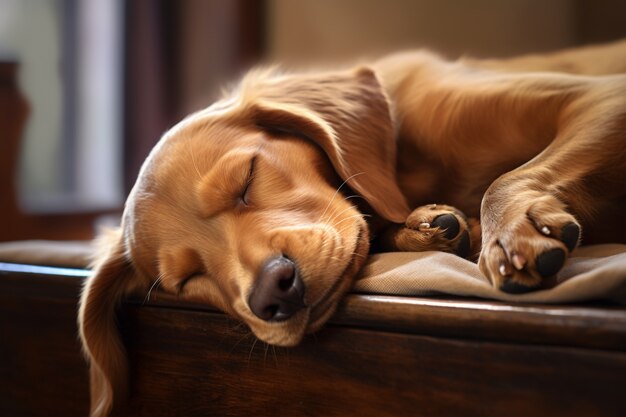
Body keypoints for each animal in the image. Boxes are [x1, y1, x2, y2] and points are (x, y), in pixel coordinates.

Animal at [78, 39, 624, 416]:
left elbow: (504, 180)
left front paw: (510, 231)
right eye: (188, 280)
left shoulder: (604, 98)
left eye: (246, 179)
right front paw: (430, 226)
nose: (274, 293)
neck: (407, 165)